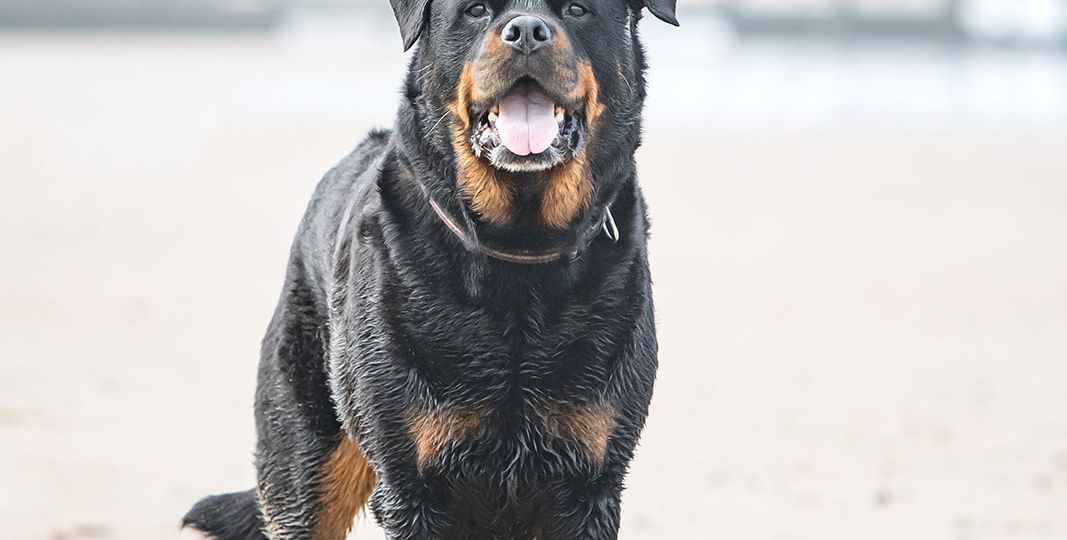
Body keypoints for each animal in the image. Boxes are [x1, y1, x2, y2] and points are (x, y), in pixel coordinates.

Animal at [182, 0, 674, 535]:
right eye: (476, 10)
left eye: (578, 10)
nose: (526, 31)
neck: (519, 254)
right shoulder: (411, 484)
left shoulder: (591, 482)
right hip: (305, 461)